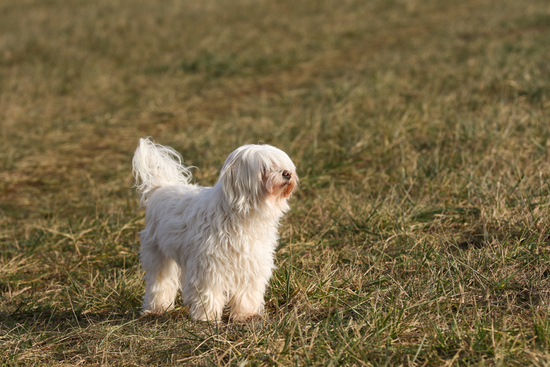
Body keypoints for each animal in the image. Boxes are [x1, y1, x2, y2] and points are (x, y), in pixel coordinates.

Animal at [132, 138, 300, 322]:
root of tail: (161, 187)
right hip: (158, 253)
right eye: (264, 168)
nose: (287, 173)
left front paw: (245, 314)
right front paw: (207, 317)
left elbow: (247, 292)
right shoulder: (209, 265)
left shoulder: (252, 263)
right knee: (160, 282)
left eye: (283, 165)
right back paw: (156, 308)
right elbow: (208, 291)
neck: (241, 215)